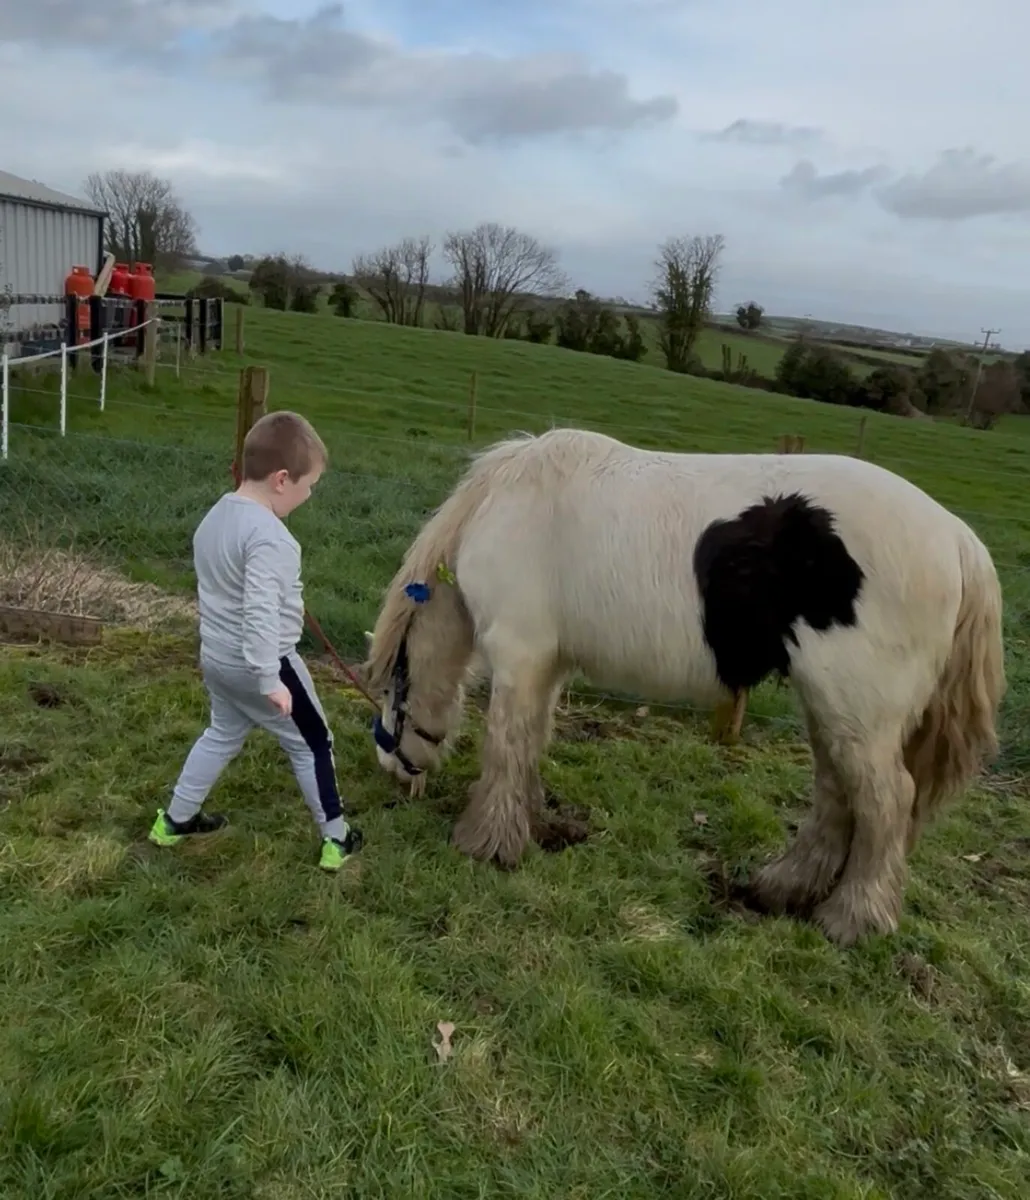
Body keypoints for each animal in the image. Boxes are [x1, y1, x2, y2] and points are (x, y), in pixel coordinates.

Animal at [361, 426, 1005, 947]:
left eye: (393, 690)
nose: (391, 769)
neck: (505, 506)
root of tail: (958, 539)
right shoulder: (547, 666)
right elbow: (530, 745)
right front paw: (528, 822)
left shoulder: (519, 659)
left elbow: (505, 745)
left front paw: (487, 842)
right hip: (832, 709)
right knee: (836, 794)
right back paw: (783, 887)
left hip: (859, 715)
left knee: (886, 802)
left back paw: (854, 918)